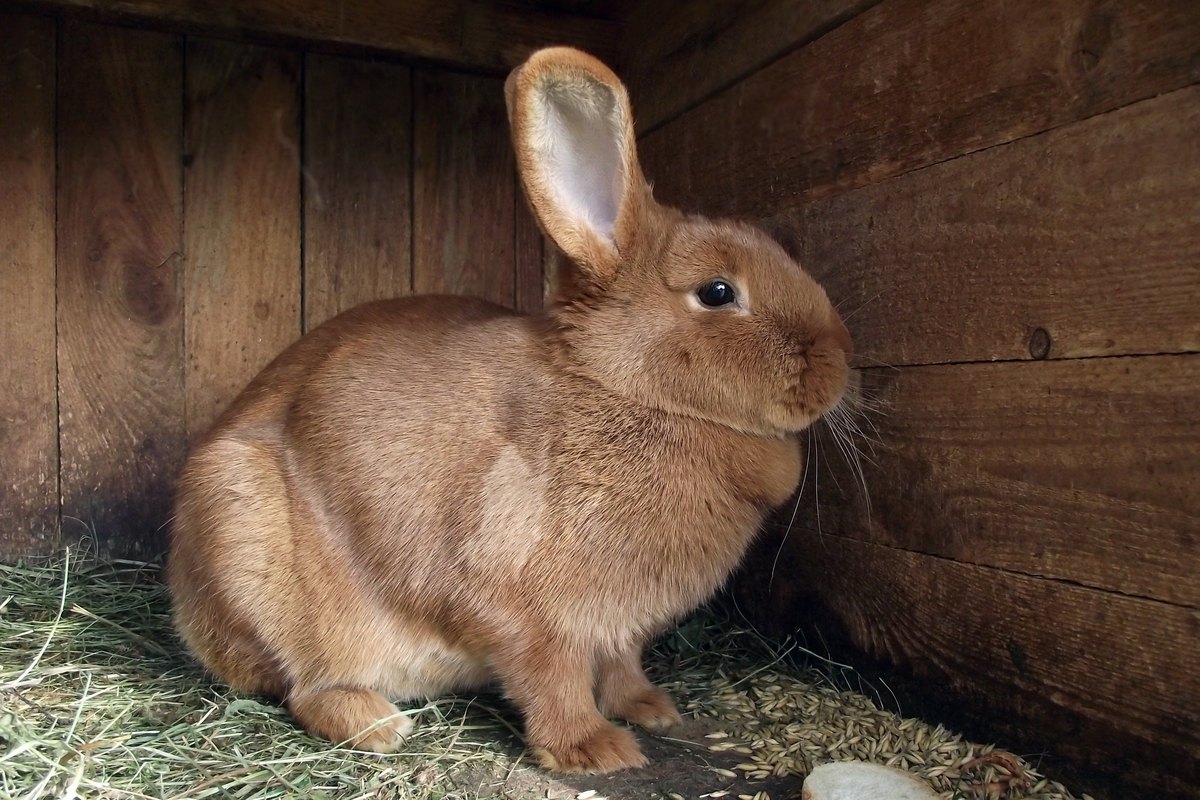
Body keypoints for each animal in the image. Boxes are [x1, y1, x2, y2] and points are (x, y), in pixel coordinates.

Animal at [167, 46, 852, 774]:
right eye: (718, 292)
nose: (839, 362)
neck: (625, 389)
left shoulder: (618, 628)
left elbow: (621, 666)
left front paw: (651, 709)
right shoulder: (518, 598)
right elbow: (549, 674)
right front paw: (596, 750)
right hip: (250, 546)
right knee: (303, 684)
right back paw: (377, 724)